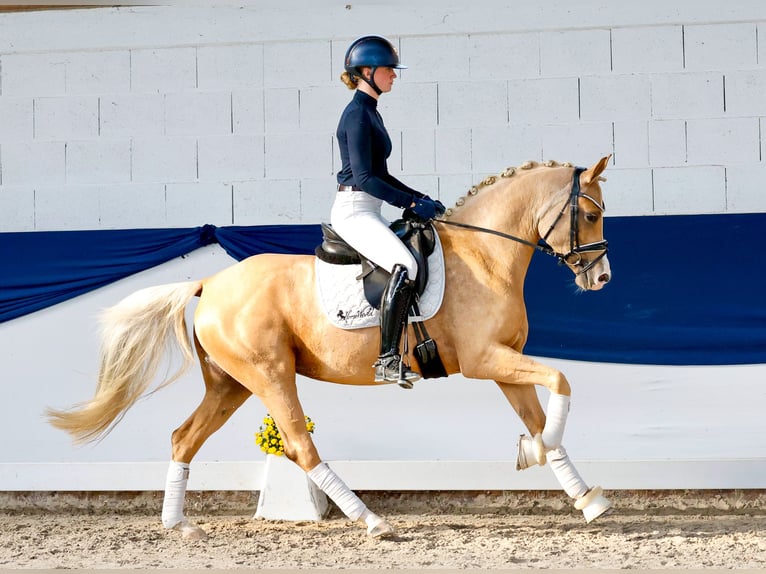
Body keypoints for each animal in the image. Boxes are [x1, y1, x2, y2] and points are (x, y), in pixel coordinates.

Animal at [47, 155, 614, 540]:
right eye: (590, 215)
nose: (602, 278)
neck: (484, 254)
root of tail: (210, 283)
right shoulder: (483, 362)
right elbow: (561, 380)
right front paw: (536, 457)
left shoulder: (502, 364)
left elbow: (542, 419)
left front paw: (585, 497)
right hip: (269, 375)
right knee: (299, 444)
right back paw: (372, 520)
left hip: (231, 385)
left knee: (183, 438)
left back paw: (179, 526)